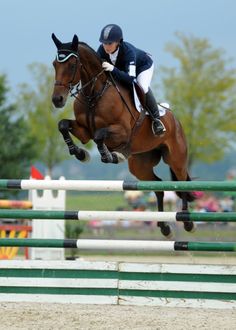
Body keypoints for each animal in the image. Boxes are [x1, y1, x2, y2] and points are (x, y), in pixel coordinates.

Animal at [50, 33, 195, 237]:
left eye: (72, 65)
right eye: (55, 64)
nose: (57, 100)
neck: (94, 94)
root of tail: (176, 121)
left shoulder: (122, 132)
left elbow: (99, 135)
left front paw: (110, 156)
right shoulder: (84, 131)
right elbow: (63, 125)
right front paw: (80, 153)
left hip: (176, 159)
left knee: (181, 184)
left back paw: (187, 222)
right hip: (140, 165)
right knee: (158, 187)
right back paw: (164, 226)